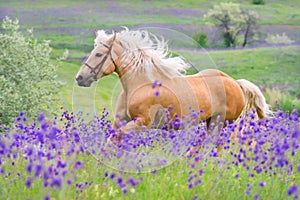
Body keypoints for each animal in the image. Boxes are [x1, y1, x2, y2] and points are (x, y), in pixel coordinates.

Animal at [75, 27, 272, 134]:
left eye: (98, 54)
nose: (80, 78)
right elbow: (111, 140)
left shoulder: (142, 122)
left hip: (221, 123)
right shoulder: (121, 120)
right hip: (211, 122)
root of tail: (236, 83)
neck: (141, 84)